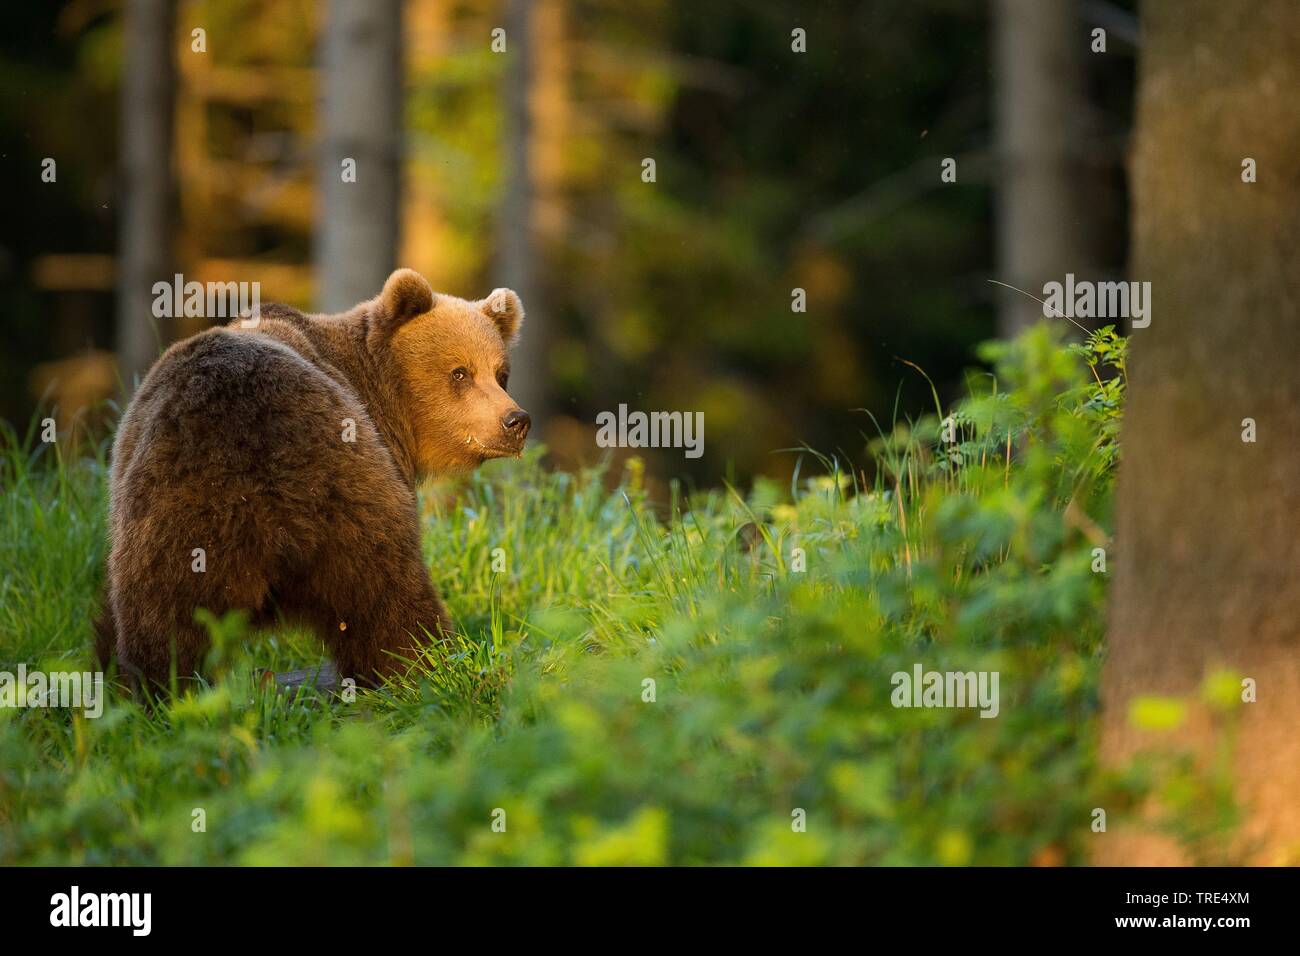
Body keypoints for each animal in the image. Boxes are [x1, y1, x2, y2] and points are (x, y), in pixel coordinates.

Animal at [94, 267, 533, 686]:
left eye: (501, 374)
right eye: (460, 372)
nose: (516, 421)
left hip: (174, 518)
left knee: (162, 617)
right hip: (352, 491)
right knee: (387, 591)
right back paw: (424, 666)